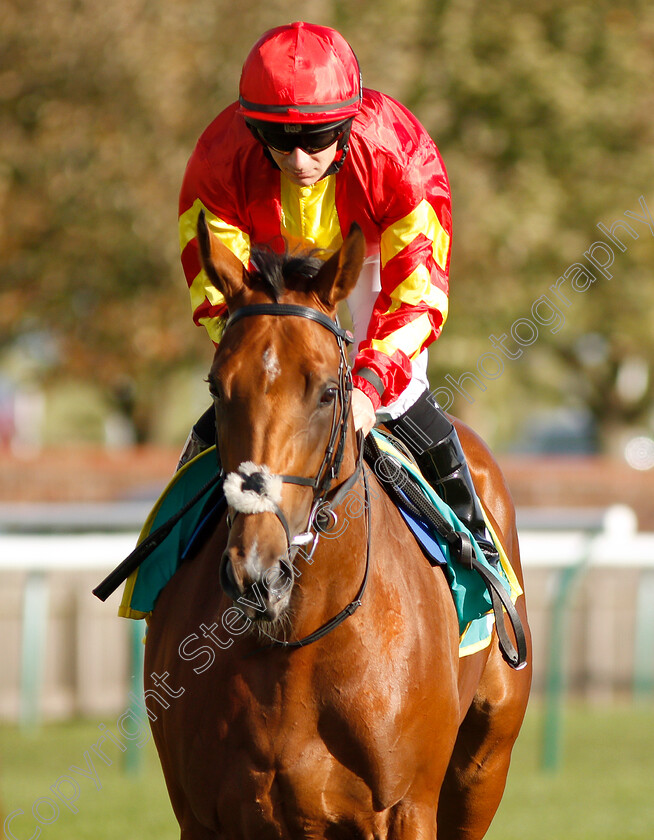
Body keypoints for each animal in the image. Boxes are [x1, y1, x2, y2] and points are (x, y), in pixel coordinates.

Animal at [144, 218, 532, 840]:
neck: (294, 647)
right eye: (215, 388)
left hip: (483, 766)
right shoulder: (204, 816)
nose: (258, 572)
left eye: (329, 392)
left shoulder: (407, 809)